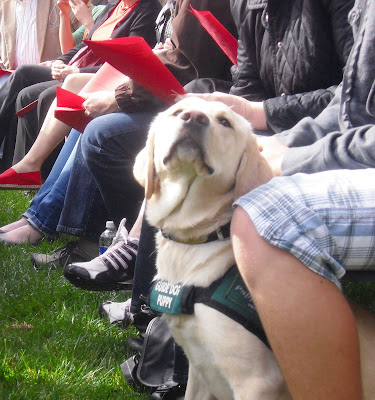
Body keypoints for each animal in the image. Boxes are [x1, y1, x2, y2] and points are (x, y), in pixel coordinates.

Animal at [134, 97, 375, 400]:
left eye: (224, 122)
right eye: (177, 112)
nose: (193, 117)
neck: (194, 242)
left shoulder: (257, 381)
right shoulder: (198, 370)